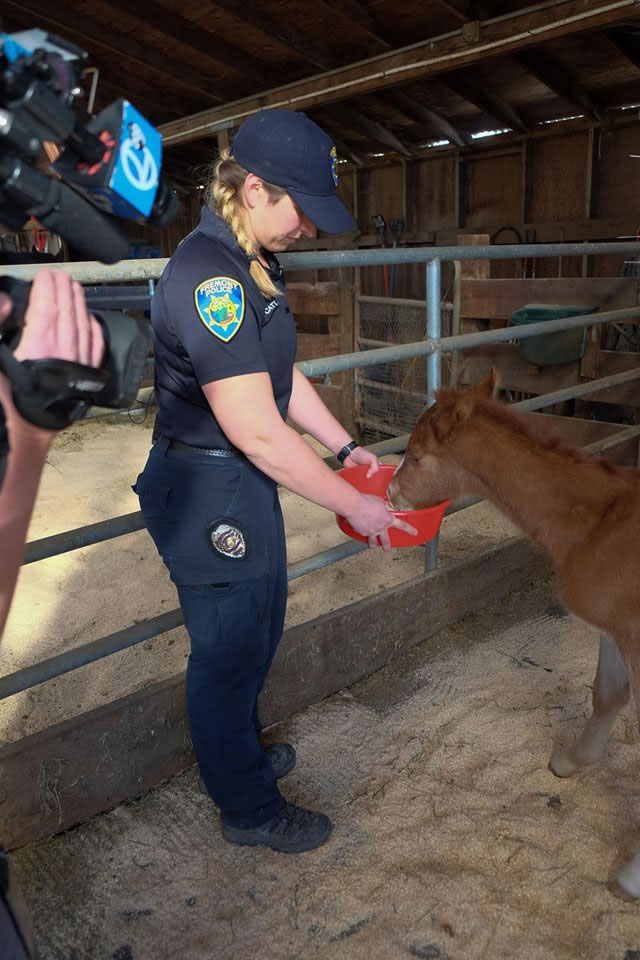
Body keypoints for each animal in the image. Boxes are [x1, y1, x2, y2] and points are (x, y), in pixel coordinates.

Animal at [388, 370, 640, 900]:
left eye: (416, 455)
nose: (392, 497)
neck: (600, 522)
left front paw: (631, 878)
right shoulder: (613, 628)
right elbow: (607, 694)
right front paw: (570, 762)